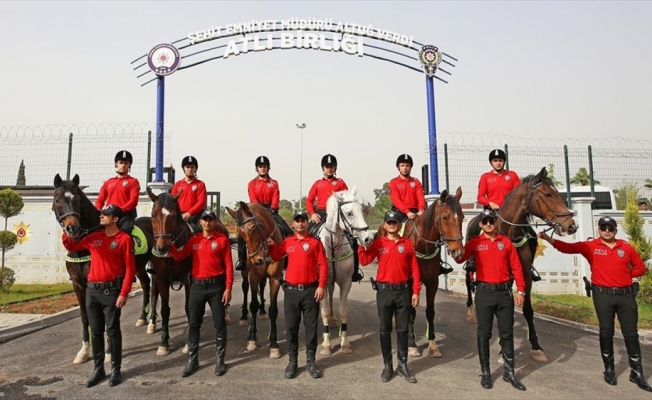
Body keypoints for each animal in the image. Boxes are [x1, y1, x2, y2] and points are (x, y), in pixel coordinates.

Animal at [52, 173, 153, 364]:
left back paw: (152, 323)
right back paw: (143, 319)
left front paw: (108, 352)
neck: (85, 246)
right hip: (138, 268)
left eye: (77, 199)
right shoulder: (78, 285)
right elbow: (85, 317)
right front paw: (84, 351)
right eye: (57, 200)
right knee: (145, 284)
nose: (72, 228)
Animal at [227, 202, 282, 358]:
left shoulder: (275, 279)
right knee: (245, 289)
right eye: (239, 234)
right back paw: (244, 317)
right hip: (245, 274)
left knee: (262, 288)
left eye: (252, 227)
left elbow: (273, 310)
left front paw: (274, 343)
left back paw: (262, 311)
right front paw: (252, 338)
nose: (257, 261)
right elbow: (252, 305)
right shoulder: (254, 277)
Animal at [320, 188, 374, 356]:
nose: (368, 238)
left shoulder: (346, 282)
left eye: (361, 210)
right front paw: (326, 344)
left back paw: (332, 319)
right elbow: (324, 310)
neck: (333, 245)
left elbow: (343, 311)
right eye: (349, 213)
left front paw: (345, 343)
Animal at [376, 188, 464, 360]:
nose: (458, 251)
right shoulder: (410, 283)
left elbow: (430, 312)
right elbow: (411, 312)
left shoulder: (432, 283)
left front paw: (433, 345)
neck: (423, 245)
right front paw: (412, 345)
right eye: (445, 217)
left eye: (462, 217)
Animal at [460, 166, 580, 362]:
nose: (571, 226)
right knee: (469, 282)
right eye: (548, 194)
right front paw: (503, 348)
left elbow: (527, 310)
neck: (509, 232)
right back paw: (471, 312)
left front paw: (536, 347)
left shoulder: (524, 274)